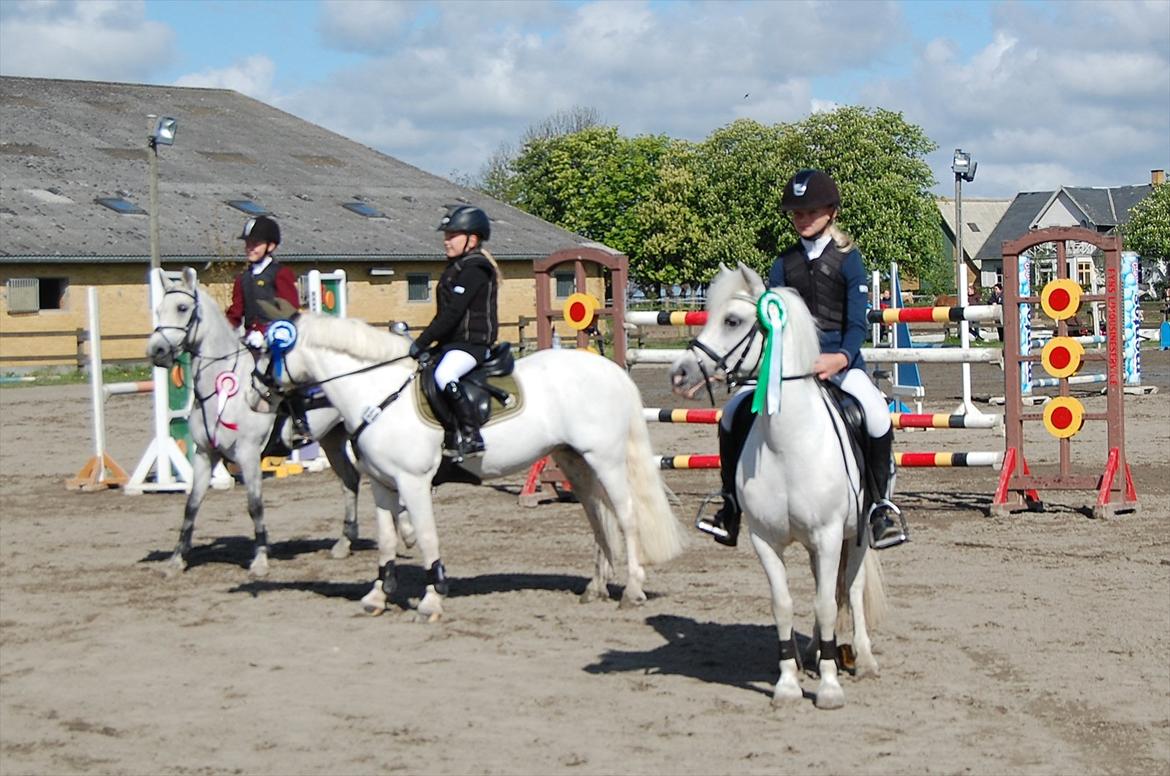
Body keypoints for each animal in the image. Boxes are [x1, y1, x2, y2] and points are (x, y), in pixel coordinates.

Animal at [145, 266, 411, 575]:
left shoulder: (248, 454)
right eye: (158, 309)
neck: (223, 387)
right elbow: (191, 505)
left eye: (182, 308)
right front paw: (177, 559)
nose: (157, 351)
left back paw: (406, 531)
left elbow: (255, 505)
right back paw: (345, 543)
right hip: (333, 440)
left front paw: (260, 559)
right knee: (351, 479)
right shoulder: (204, 454)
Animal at [251, 313, 683, 622]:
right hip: (575, 462)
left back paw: (632, 591)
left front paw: (431, 600)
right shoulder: (382, 486)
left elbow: (426, 538)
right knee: (598, 518)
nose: (255, 396)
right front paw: (377, 595)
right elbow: (388, 540)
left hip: (605, 459)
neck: (377, 393)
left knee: (626, 517)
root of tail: (611, 371)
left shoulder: (413, 483)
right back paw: (595, 587)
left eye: (267, 352)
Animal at [669, 265, 884, 711]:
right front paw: (787, 683)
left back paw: (862, 658)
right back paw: (815, 653)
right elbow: (784, 604)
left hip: (856, 536)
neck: (789, 443)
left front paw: (829, 688)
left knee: (851, 588)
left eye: (733, 321)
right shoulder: (765, 539)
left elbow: (827, 603)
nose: (678, 373)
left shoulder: (830, 535)